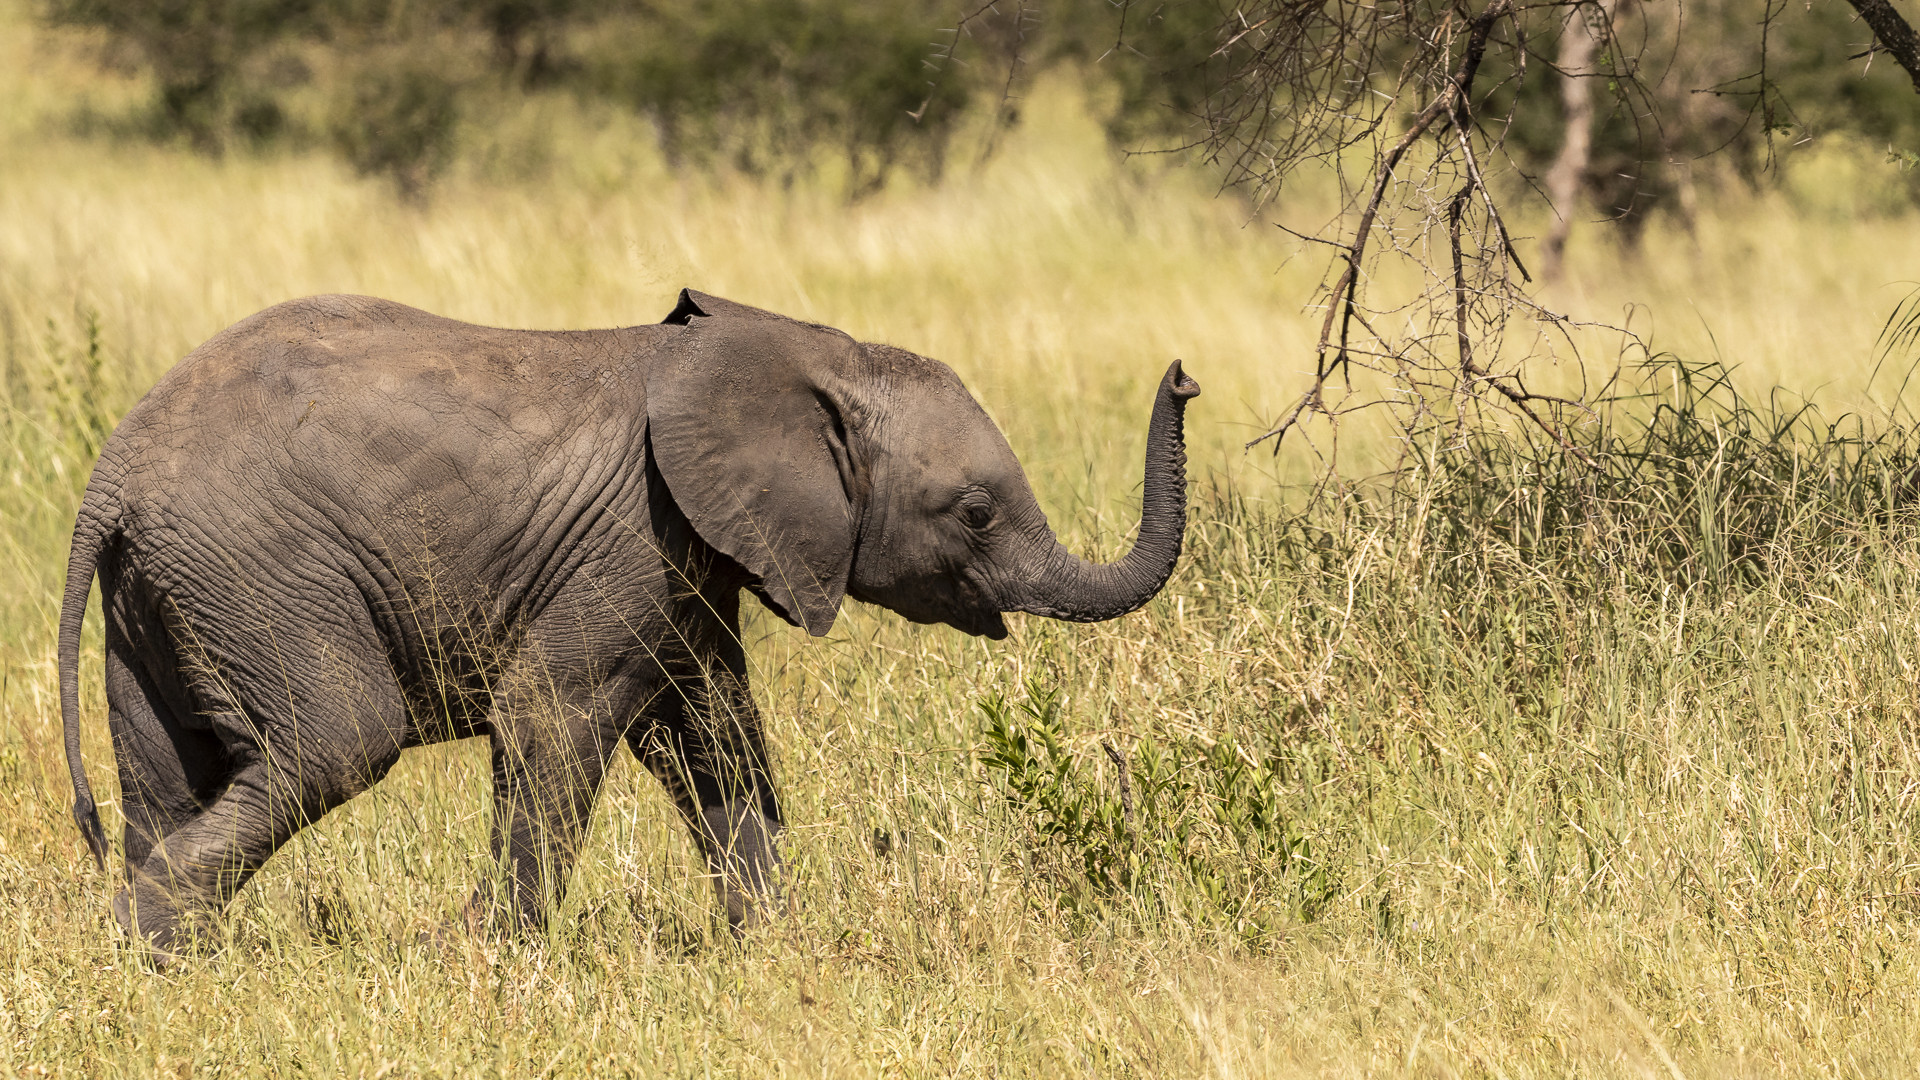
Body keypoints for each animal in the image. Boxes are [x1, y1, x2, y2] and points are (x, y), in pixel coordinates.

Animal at [56, 286, 1198, 949]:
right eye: (973, 512)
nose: (1186, 374)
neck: (806, 350)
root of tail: (111, 475)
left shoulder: (689, 557)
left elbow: (714, 736)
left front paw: (773, 953)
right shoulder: (631, 541)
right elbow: (554, 719)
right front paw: (486, 958)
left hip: (166, 597)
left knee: (166, 772)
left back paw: (163, 957)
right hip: (260, 573)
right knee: (338, 743)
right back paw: (147, 938)